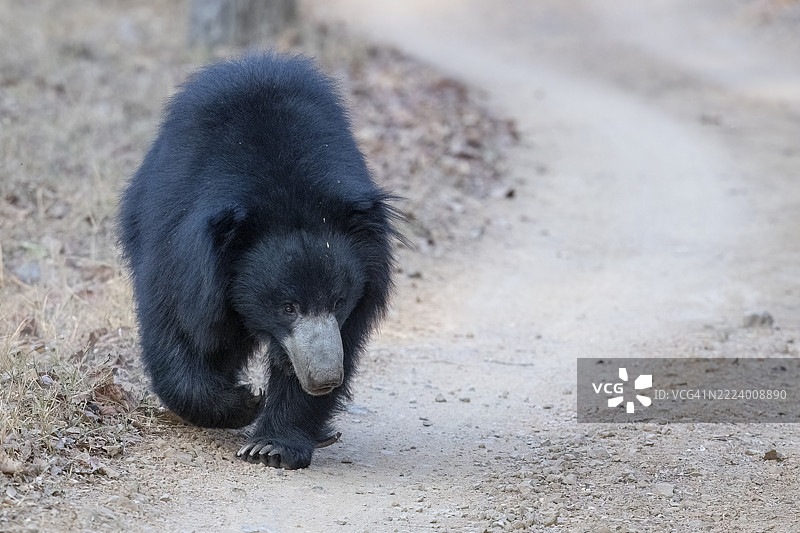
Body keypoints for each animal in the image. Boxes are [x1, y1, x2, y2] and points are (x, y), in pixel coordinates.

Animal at [118, 53, 402, 469]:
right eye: (288, 307)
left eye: (338, 301)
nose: (324, 379)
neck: (288, 196)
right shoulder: (180, 250)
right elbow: (178, 329)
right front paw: (245, 401)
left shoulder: (358, 295)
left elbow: (339, 343)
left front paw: (271, 446)